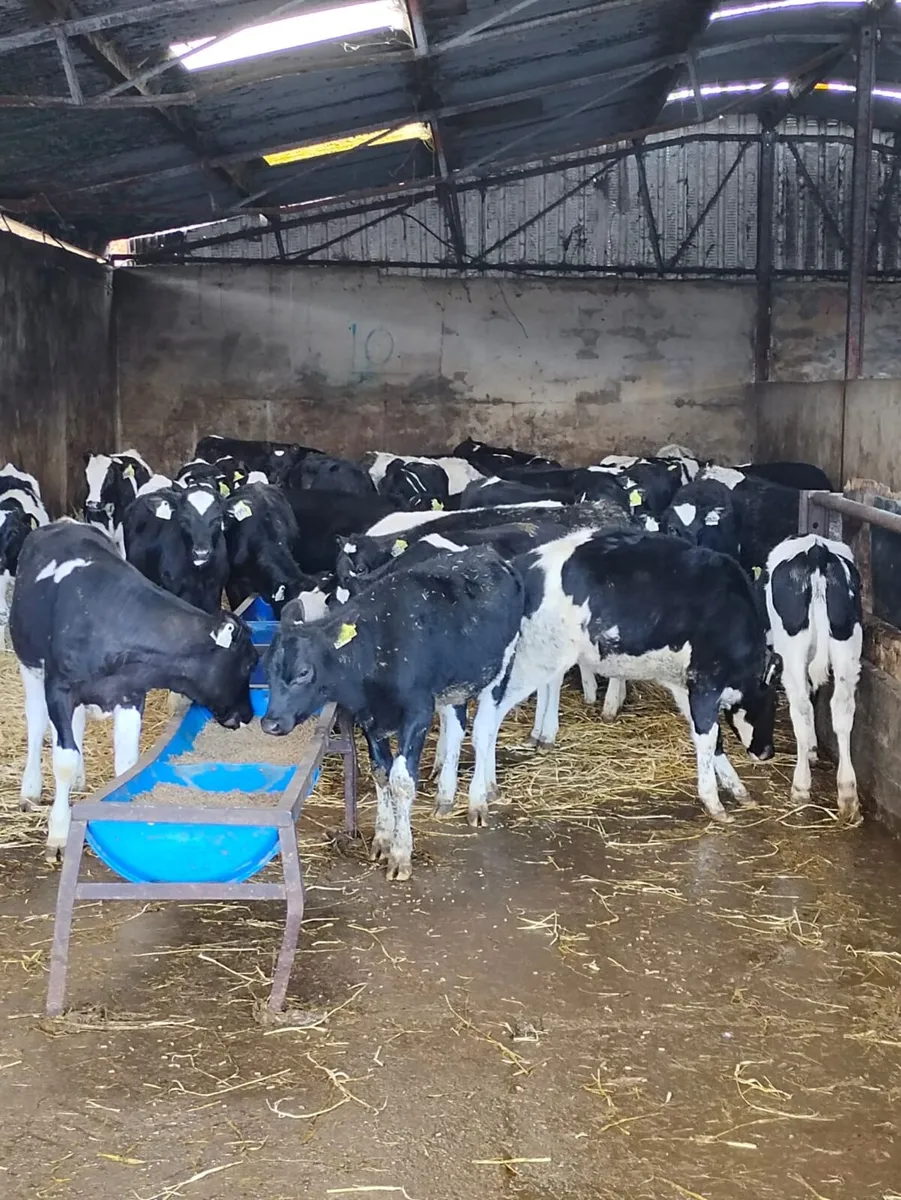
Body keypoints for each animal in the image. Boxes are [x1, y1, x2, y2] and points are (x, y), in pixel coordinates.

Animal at [11, 520, 257, 861]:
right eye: (250, 663)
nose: (248, 714)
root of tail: (64, 522)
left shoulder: (130, 695)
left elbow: (126, 764)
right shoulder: (58, 689)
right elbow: (63, 759)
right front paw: (59, 832)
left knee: (76, 725)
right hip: (30, 666)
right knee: (35, 724)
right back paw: (30, 789)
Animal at [262, 548, 526, 881]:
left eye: (303, 672)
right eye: (266, 668)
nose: (270, 723)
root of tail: (488, 553)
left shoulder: (418, 711)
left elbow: (401, 779)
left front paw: (400, 854)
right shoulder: (369, 718)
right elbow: (381, 772)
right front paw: (382, 840)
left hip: (502, 666)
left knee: (484, 731)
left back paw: (478, 800)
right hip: (453, 685)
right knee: (456, 729)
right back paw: (445, 797)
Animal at [462, 529, 777, 829]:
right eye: (771, 706)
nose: (768, 753)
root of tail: (520, 566)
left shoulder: (684, 685)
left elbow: (711, 738)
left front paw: (738, 789)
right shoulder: (706, 682)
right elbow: (709, 738)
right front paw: (714, 802)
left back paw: (491, 787)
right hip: (533, 660)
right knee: (486, 723)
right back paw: (479, 801)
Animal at [759, 534, 862, 819]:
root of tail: (818, 552)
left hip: (792, 648)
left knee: (801, 708)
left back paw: (801, 785)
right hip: (847, 642)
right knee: (842, 710)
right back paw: (847, 794)